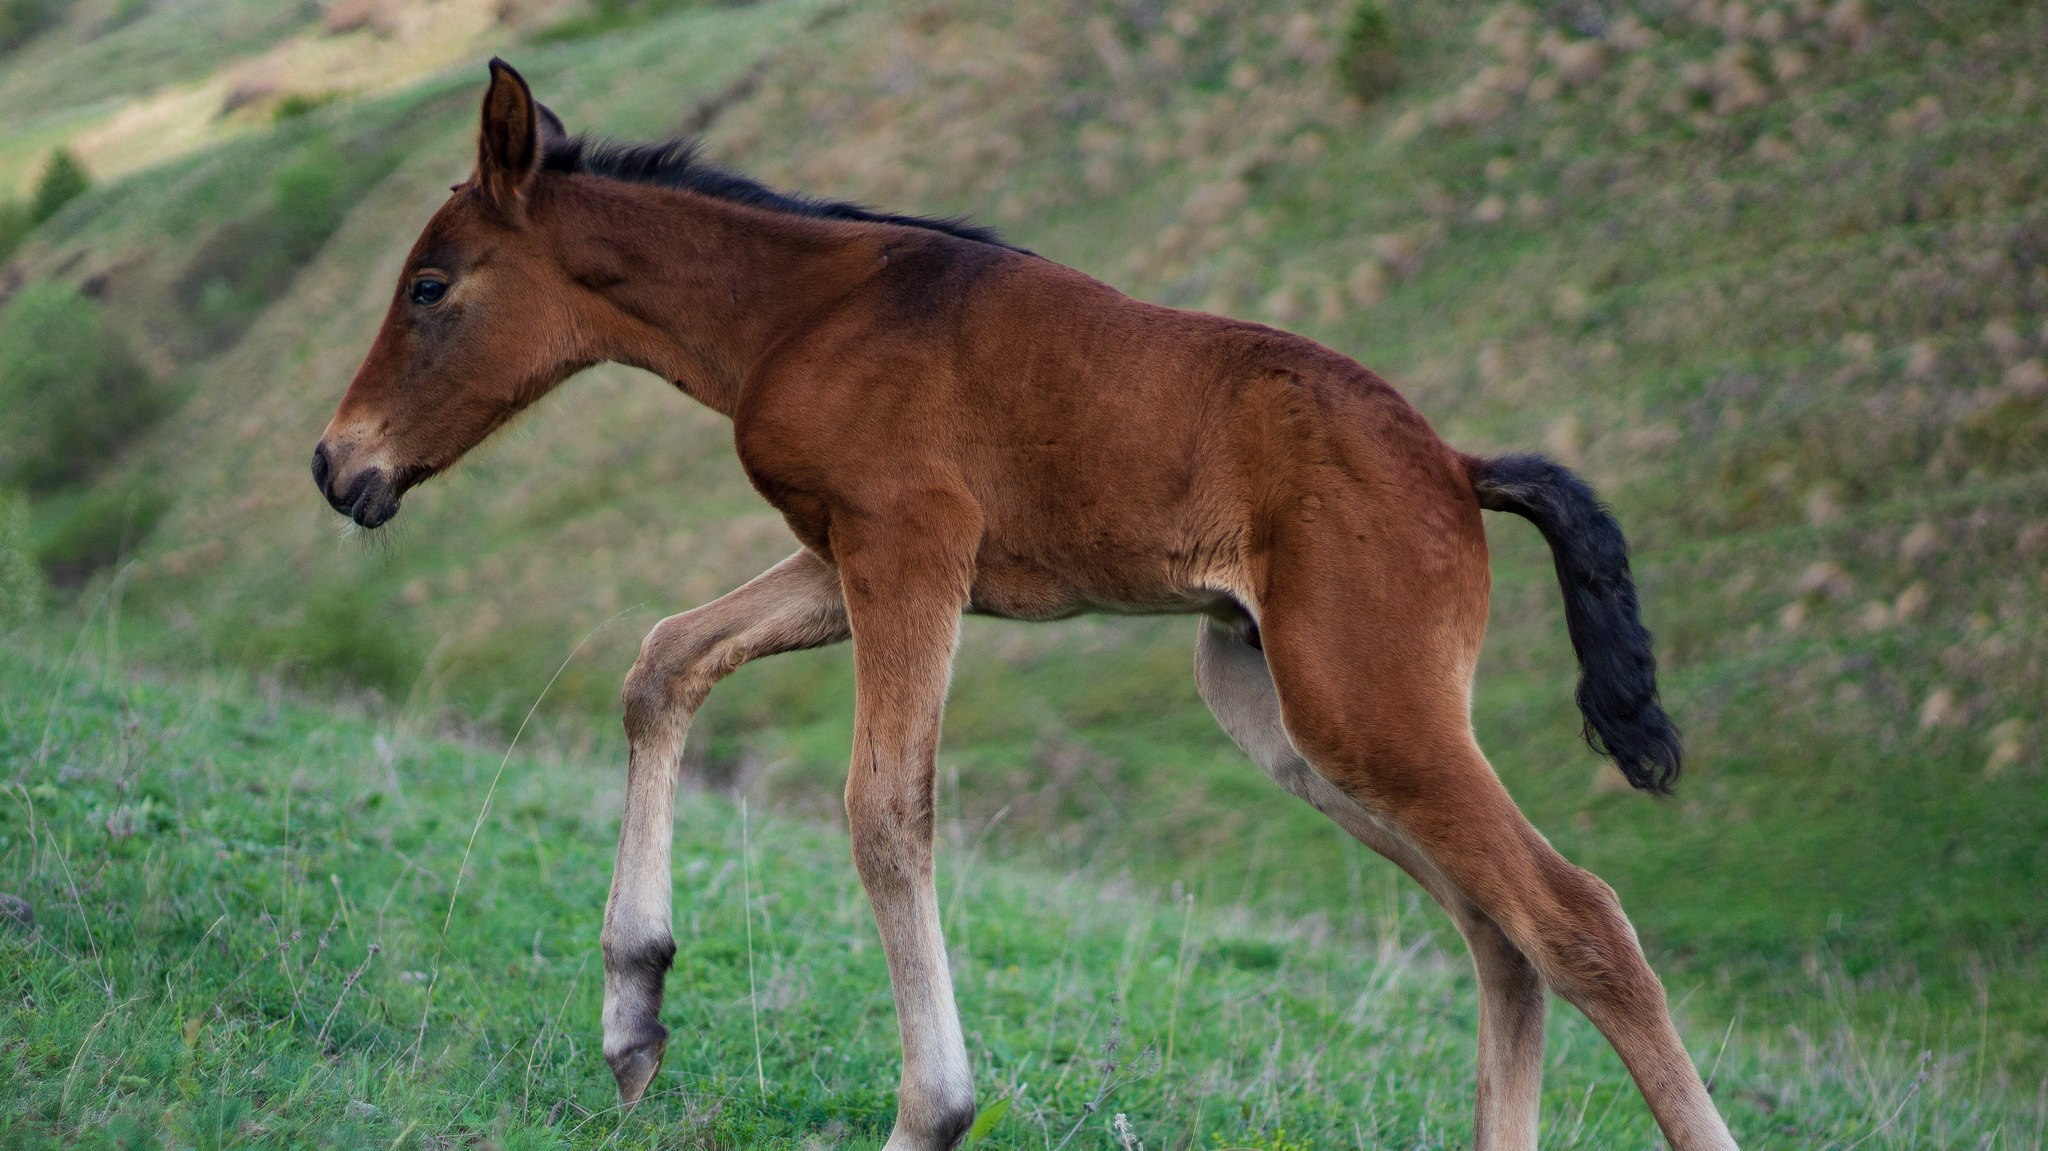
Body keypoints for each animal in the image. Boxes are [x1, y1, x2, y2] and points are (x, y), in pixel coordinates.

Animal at [311, 65, 1736, 1146]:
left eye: (429, 287)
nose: (337, 465)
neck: (803, 310)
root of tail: (1451, 463)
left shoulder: (910, 547)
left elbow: (885, 809)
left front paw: (930, 1112)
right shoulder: (845, 556)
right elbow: (663, 661)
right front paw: (634, 1010)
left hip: (1364, 702)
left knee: (1576, 918)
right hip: (1280, 711)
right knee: (1498, 932)